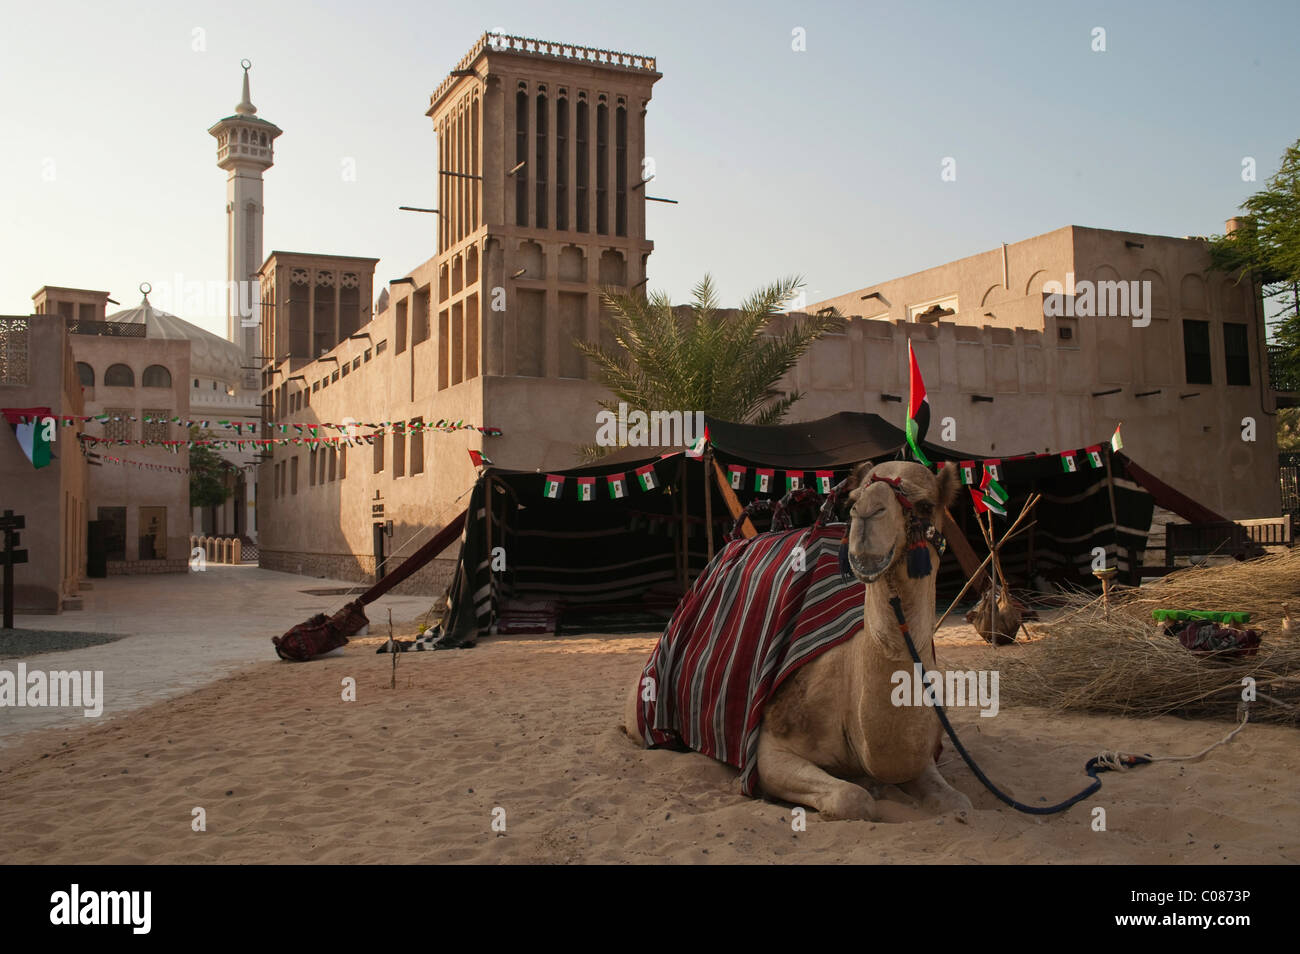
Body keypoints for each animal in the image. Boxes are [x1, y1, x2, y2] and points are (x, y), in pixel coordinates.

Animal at [625, 459, 973, 821]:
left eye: (925, 505)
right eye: (853, 501)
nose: (866, 514)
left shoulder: (924, 751)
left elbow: (960, 803)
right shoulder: (768, 751)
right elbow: (852, 797)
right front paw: (866, 790)